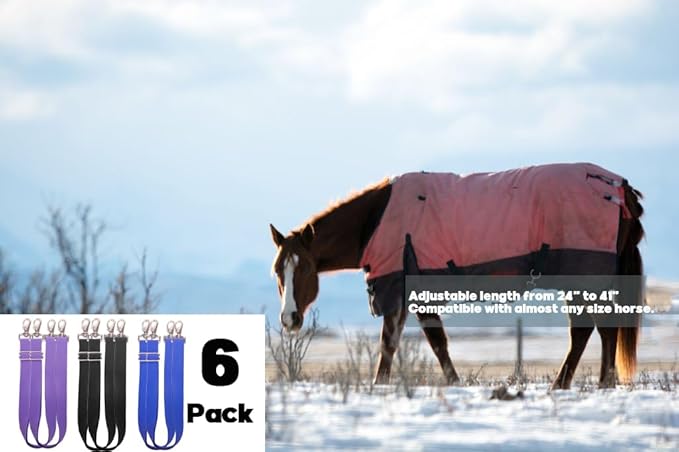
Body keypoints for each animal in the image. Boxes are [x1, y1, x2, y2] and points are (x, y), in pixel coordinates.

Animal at [270, 163, 644, 389]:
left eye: (303, 268)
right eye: (277, 270)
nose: (289, 319)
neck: (377, 220)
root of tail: (619, 187)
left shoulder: (410, 293)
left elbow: (427, 344)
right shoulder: (406, 296)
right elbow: (401, 344)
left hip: (583, 279)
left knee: (591, 330)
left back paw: (582, 385)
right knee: (596, 330)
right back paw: (587, 384)